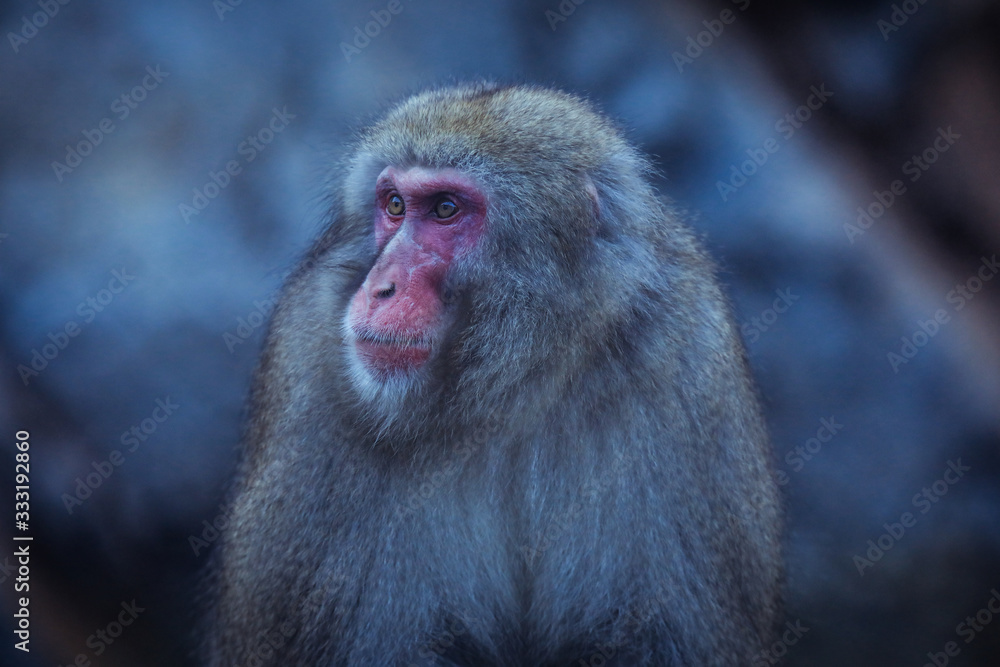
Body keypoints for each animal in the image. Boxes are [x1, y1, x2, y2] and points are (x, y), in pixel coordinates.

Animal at [206, 83, 782, 666]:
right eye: (394, 205)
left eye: (445, 209)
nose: (380, 286)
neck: (511, 389)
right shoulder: (307, 372)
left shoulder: (689, 360)